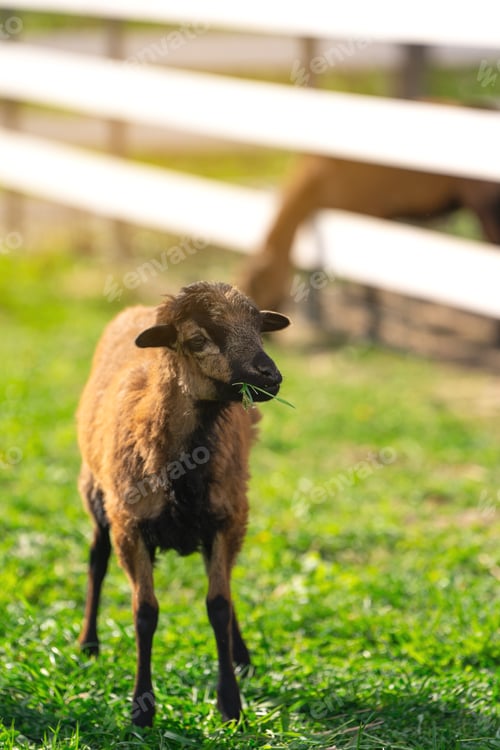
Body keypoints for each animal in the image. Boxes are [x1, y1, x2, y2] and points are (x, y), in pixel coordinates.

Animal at [77, 281, 290, 727]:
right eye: (197, 340)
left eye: (259, 330)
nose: (270, 376)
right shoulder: (130, 527)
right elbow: (145, 612)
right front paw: (141, 709)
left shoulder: (227, 520)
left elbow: (219, 606)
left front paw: (231, 704)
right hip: (95, 493)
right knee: (96, 560)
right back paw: (88, 644)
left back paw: (242, 656)